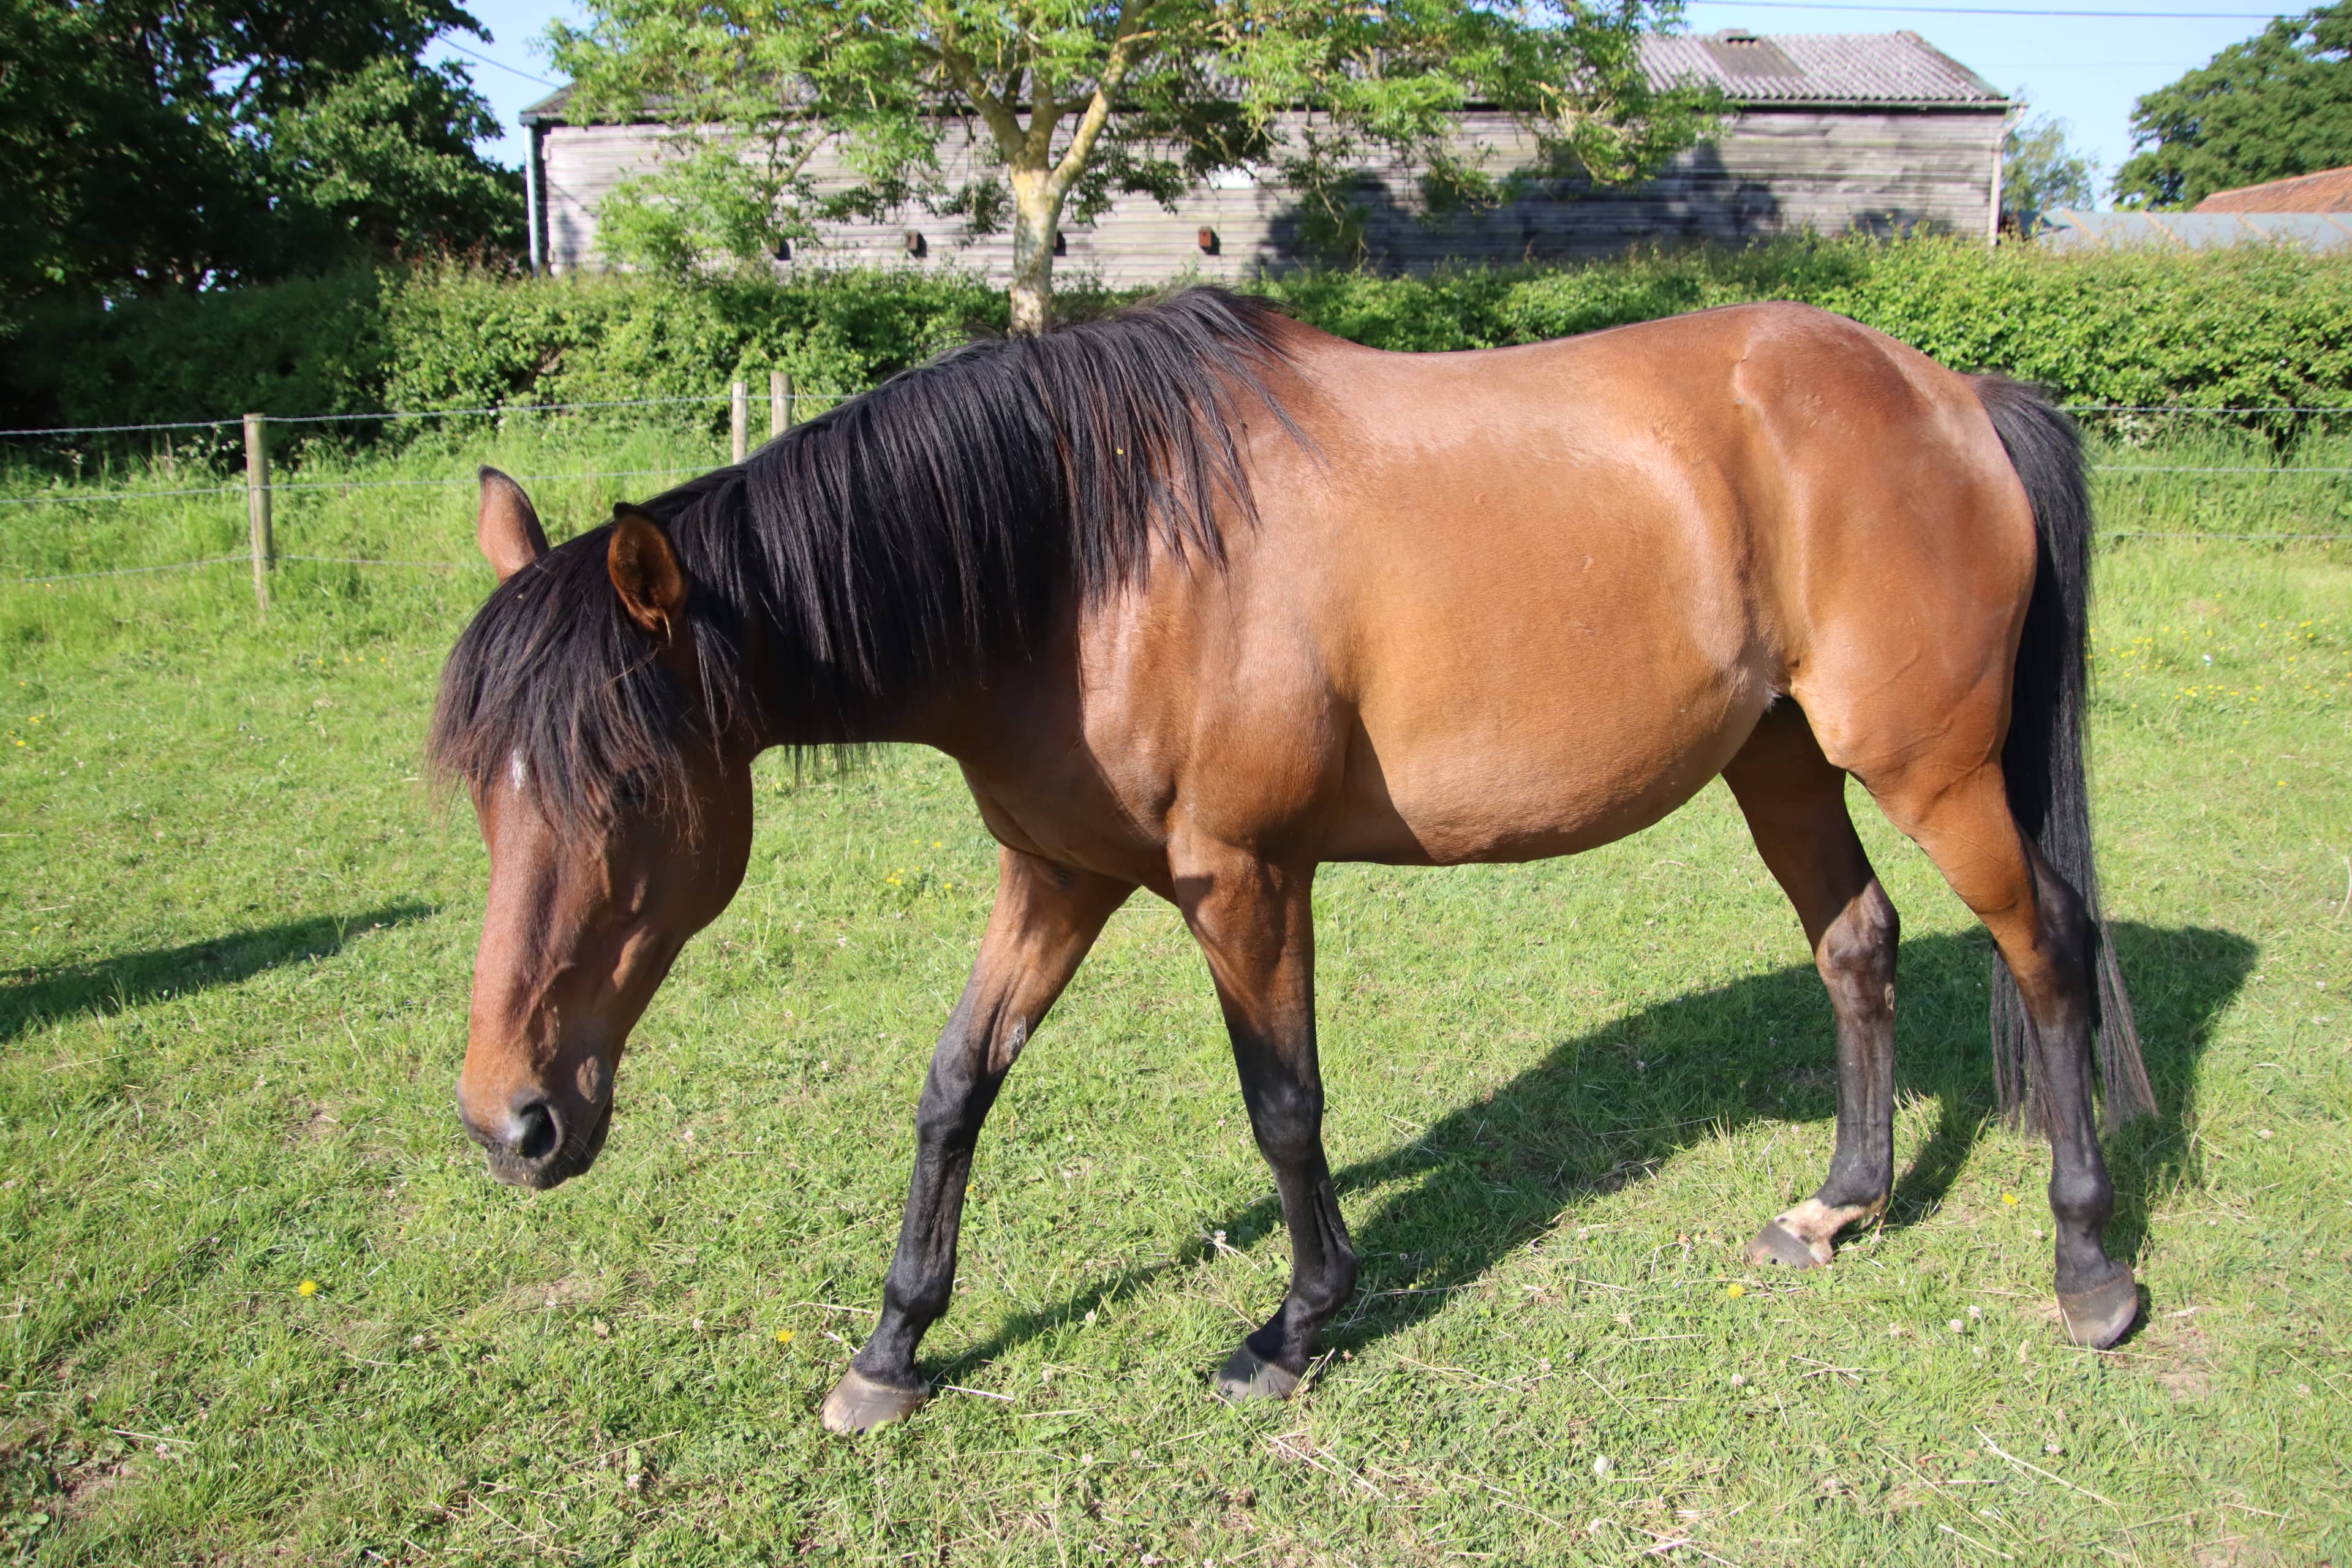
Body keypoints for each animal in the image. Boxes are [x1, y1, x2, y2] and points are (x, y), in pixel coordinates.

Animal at [430, 288, 2158, 1435]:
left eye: (625, 783)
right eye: (483, 797)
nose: (513, 1123)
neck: (1086, 555)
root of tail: (1947, 391)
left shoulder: (1243, 879)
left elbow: (1282, 1105)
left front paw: (1291, 1326)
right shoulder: (1055, 876)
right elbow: (953, 1088)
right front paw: (891, 1347)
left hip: (1929, 766)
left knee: (2048, 947)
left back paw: (2089, 1266)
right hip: (1783, 757)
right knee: (1857, 938)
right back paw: (1839, 1204)